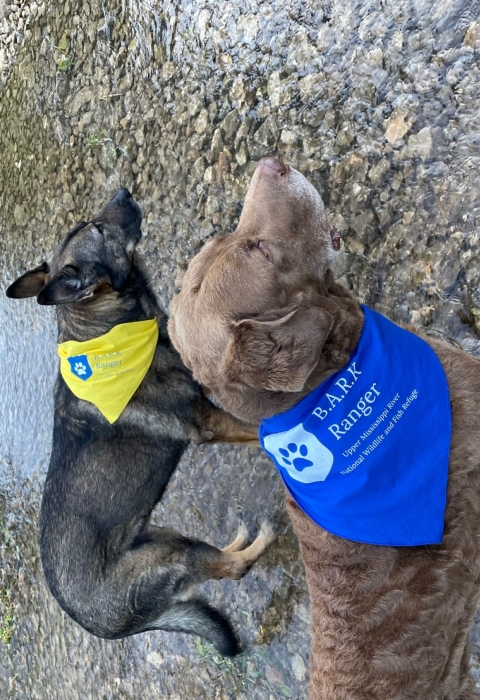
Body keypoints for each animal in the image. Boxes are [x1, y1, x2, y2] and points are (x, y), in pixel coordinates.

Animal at [4, 187, 274, 656]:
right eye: (98, 228)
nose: (123, 191)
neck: (103, 331)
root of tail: (111, 628)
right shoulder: (209, 421)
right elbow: (258, 426)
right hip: (170, 555)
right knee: (228, 568)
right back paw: (258, 544)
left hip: (162, 535)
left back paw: (239, 541)